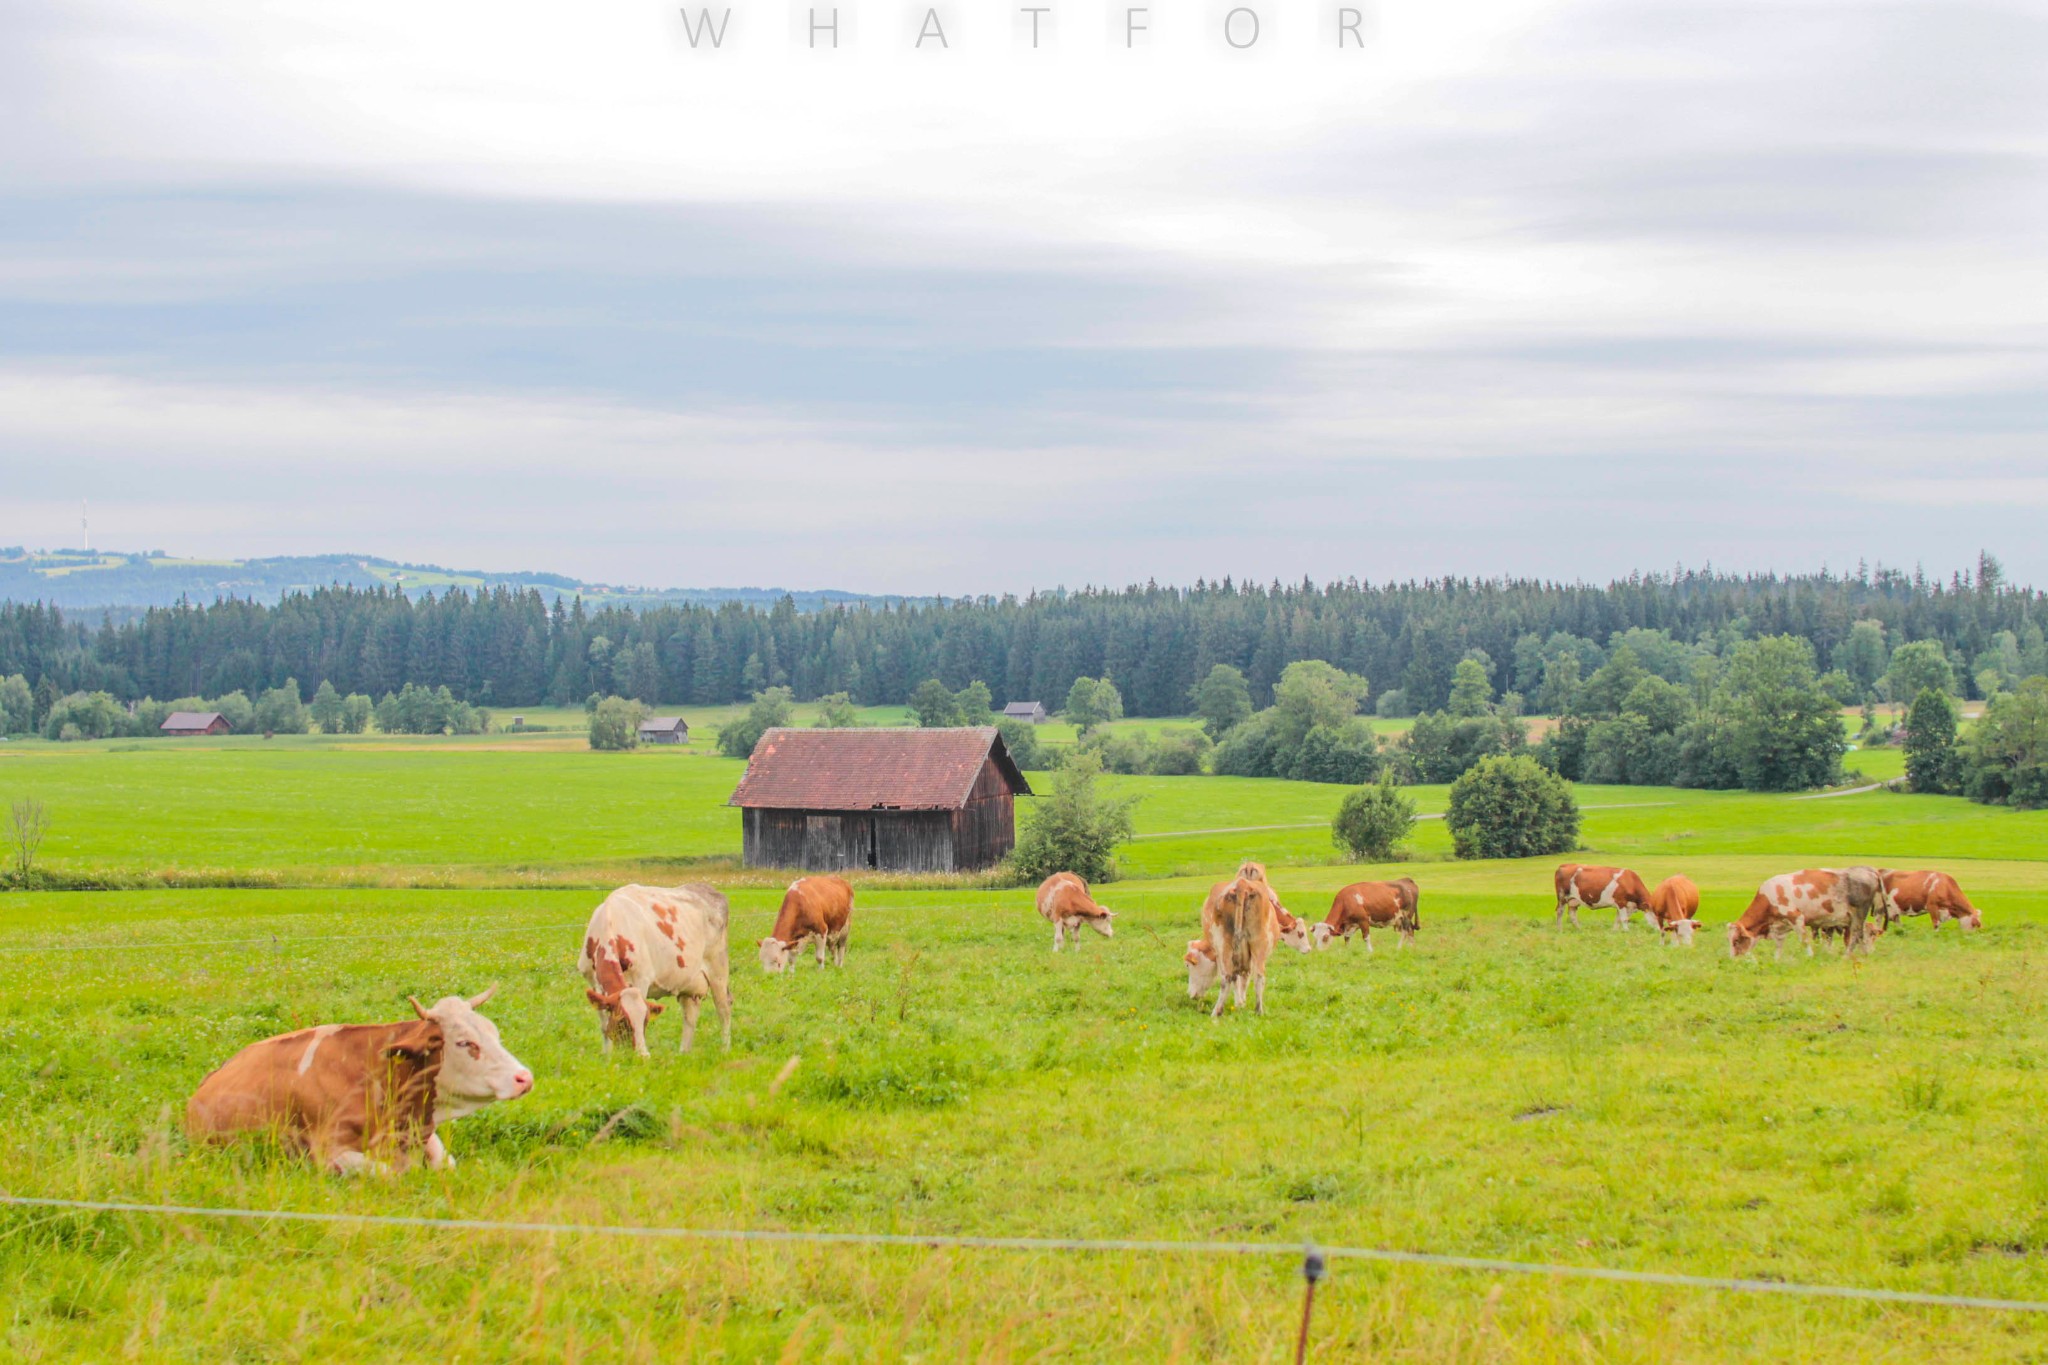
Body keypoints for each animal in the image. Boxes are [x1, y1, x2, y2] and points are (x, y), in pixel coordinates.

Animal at [185, 986, 532, 1178]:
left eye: (494, 1033)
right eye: (463, 1043)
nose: (524, 1077)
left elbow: (447, 1164)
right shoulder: (326, 1152)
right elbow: (390, 1175)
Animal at [577, 879, 737, 1064]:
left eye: (645, 1021)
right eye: (622, 1022)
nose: (643, 1056)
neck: (609, 922)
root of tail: (708, 889)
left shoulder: (641, 979)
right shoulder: (594, 982)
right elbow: (604, 1023)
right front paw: (607, 1056)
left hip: (718, 969)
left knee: (723, 1007)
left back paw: (724, 1049)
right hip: (690, 981)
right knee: (690, 1013)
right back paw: (684, 1053)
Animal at [1196, 875, 1269, 1015]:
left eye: (1188, 966)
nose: (1193, 995)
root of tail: (1242, 884)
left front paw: (1239, 1003)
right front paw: (1241, 1003)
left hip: (1225, 945)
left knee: (1227, 978)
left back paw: (1216, 1012)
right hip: (1258, 944)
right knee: (1258, 976)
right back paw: (1259, 1011)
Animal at [1720, 863, 1875, 961]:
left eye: (1736, 940)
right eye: (1729, 939)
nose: (1733, 960)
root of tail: (1868, 871)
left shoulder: (1796, 917)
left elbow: (1804, 940)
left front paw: (1810, 956)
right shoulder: (1780, 926)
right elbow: (1779, 944)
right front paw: (1777, 960)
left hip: (1858, 914)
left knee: (1857, 934)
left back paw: (1848, 956)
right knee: (1860, 935)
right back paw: (1864, 954)